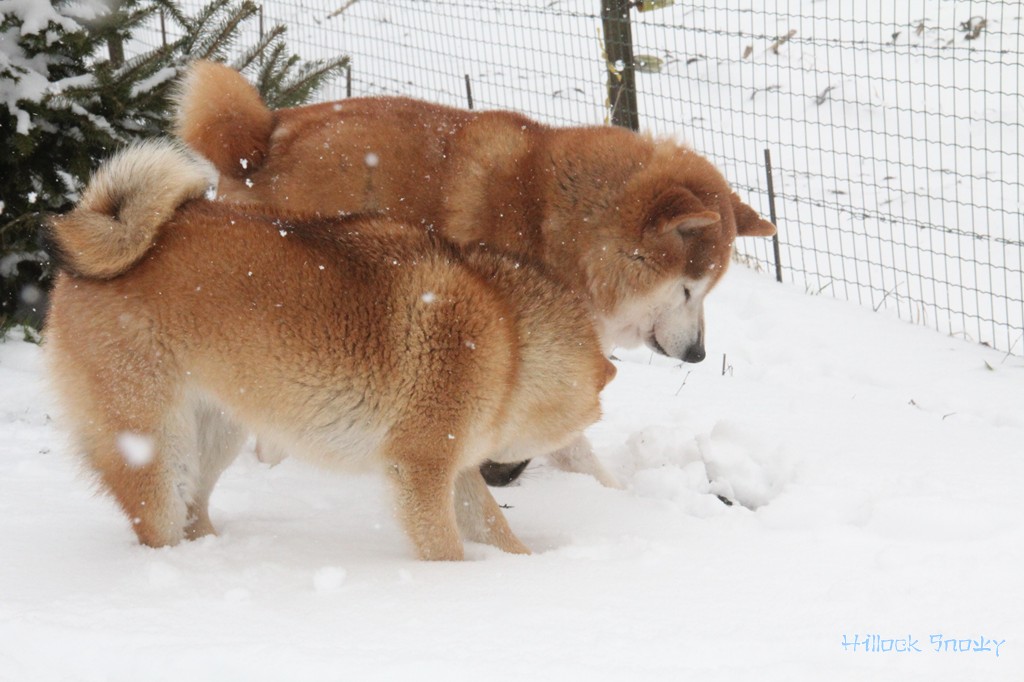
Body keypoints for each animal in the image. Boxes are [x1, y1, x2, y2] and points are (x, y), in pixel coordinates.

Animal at [44, 140, 610, 561]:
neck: (510, 340)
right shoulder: (422, 469)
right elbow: (446, 547)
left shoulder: (453, 468)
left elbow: (495, 530)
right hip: (155, 448)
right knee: (159, 525)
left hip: (217, 434)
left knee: (194, 512)